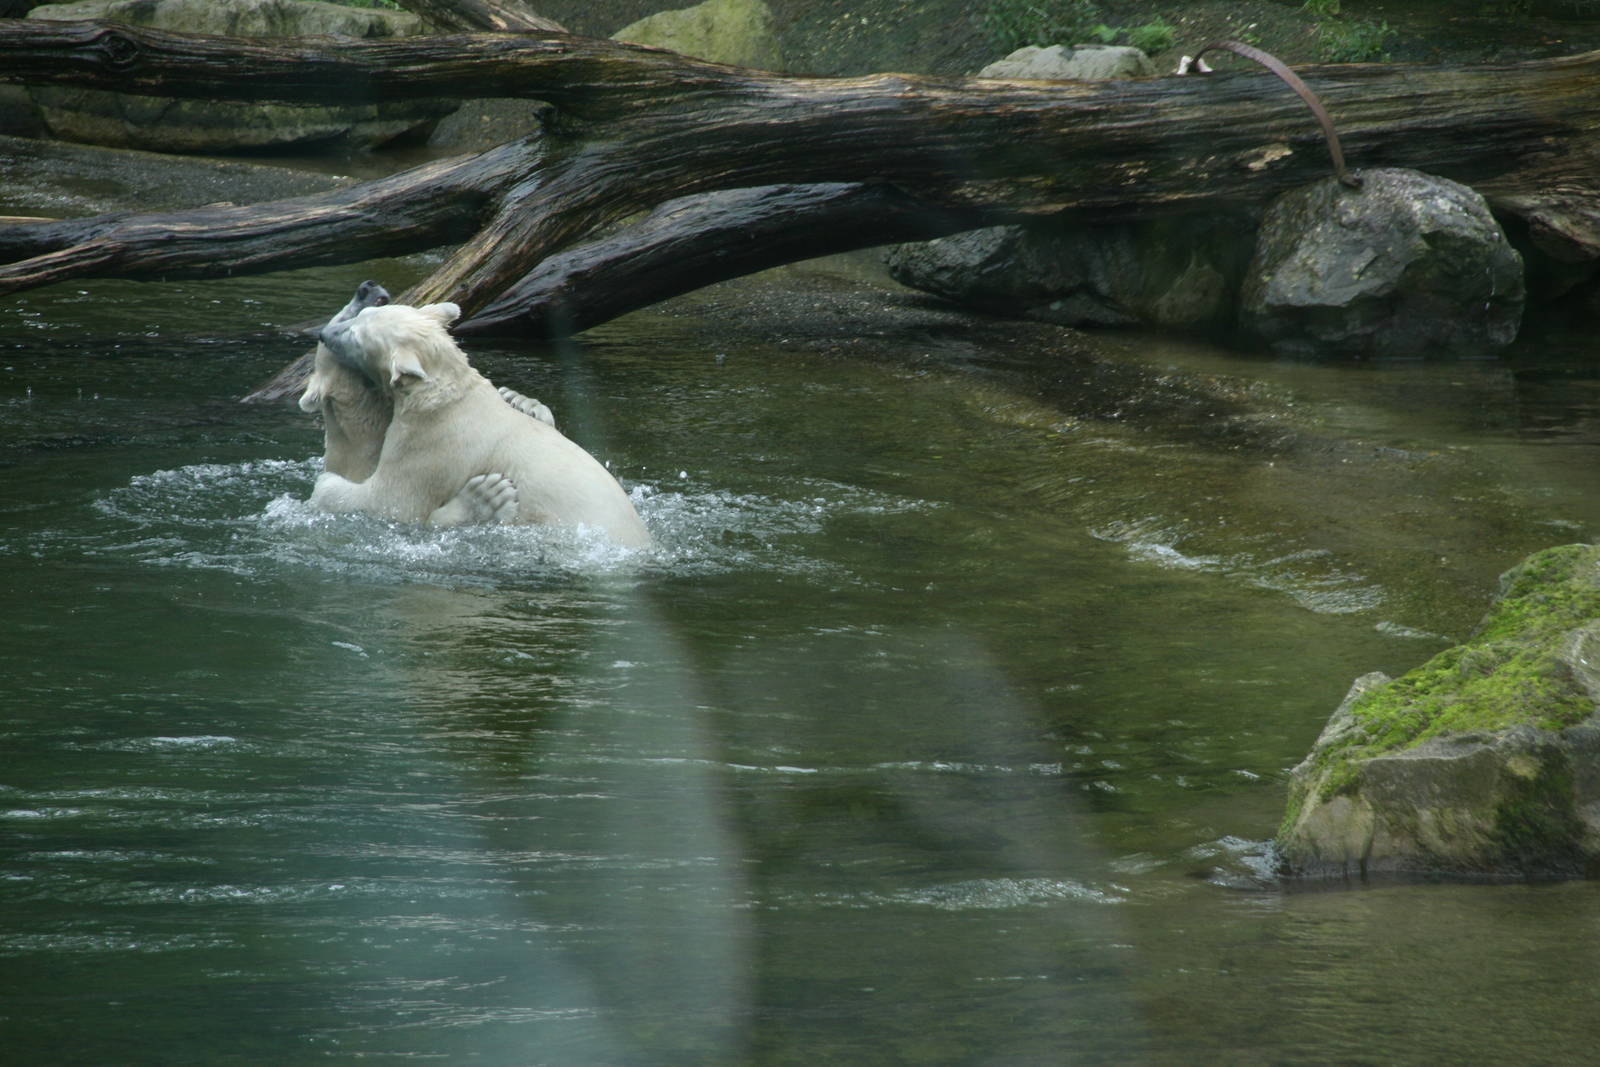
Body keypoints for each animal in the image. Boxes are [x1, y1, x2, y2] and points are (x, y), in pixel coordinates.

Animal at [307, 292, 652, 548]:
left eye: (357, 336)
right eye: (363, 315)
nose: (325, 334)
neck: (445, 397)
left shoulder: (430, 445)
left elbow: (391, 502)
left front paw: (327, 485)